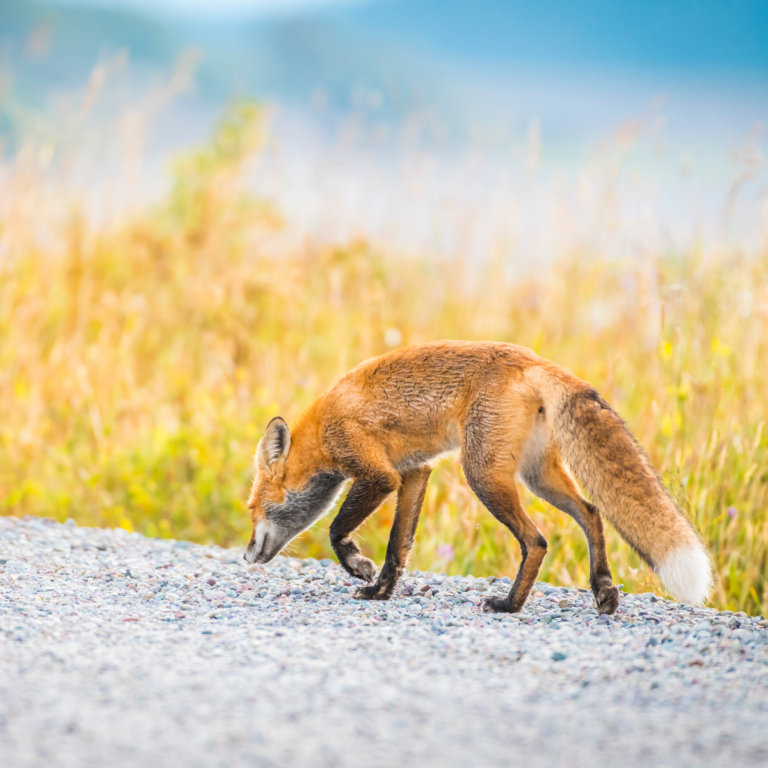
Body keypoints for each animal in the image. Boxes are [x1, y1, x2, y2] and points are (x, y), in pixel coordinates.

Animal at [243, 340, 712, 612]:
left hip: (483, 475)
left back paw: (510, 605)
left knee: (537, 541)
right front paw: (381, 592)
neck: (322, 430)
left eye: (252, 508)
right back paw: (603, 589)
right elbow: (399, 547)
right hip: (537, 475)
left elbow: (337, 529)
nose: (246, 555)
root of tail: (533, 359)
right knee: (593, 512)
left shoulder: (378, 475)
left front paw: (359, 567)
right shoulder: (415, 473)